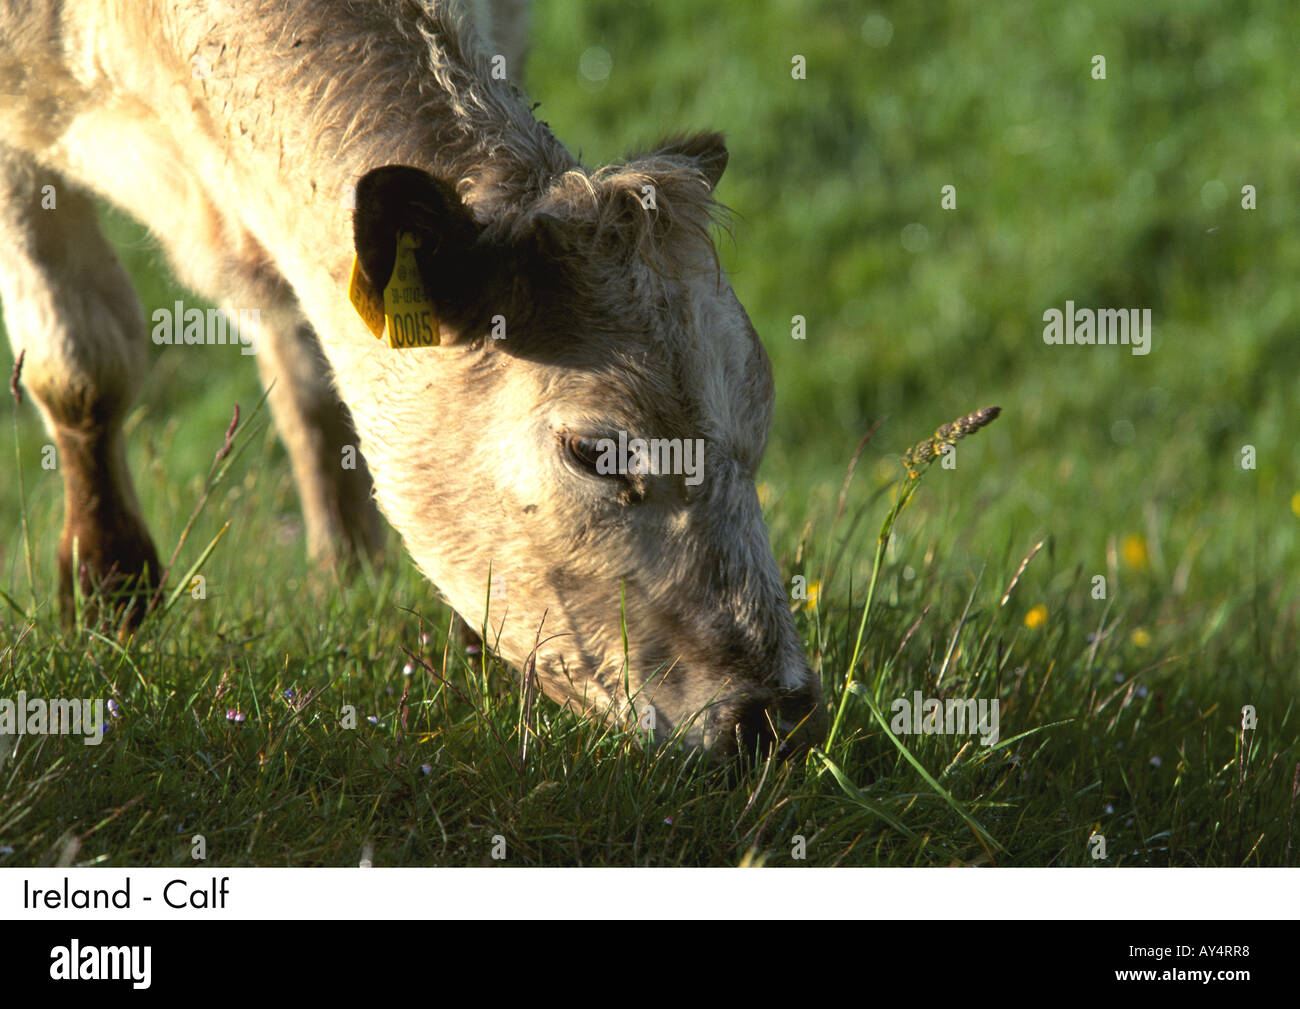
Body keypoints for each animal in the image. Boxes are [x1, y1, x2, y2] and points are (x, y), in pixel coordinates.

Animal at [0, 0, 825, 758]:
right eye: (594, 452)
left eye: (759, 427)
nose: (776, 712)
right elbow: (81, 363)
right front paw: (110, 590)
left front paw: (373, 588)